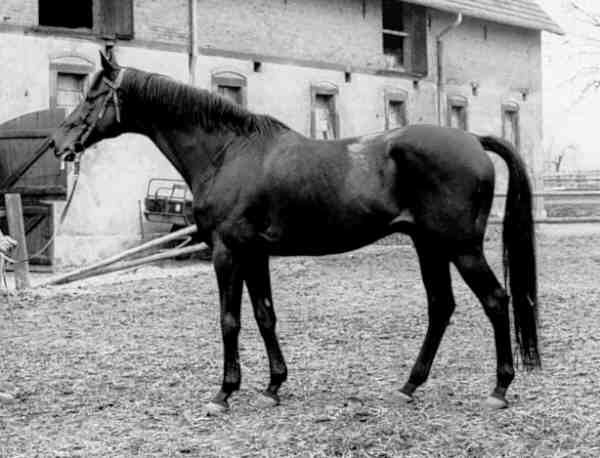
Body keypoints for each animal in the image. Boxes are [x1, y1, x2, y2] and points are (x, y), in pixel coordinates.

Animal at [50, 53, 540, 416]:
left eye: (94, 93)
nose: (60, 143)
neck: (228, 153)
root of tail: (474, 140)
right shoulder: (255, 254)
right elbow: (265, 315)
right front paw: (273, 386)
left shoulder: (227, 253)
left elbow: (230, 320)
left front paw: (223, 393)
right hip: (429, 246)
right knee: (441, 306)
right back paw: (408, 386)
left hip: (461, 248)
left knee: (496, 301)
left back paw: (499, 389)